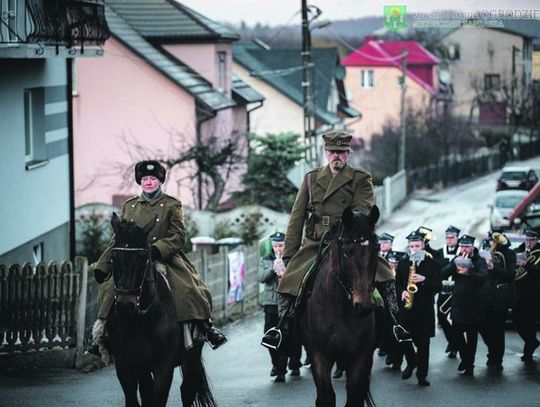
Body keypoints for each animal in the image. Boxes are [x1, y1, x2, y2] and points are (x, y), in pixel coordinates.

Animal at [107, 214, 215, 407]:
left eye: (143, 257)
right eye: (113, 256)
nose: (125, 304)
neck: (140, 320)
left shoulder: (163, 367)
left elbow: (158, 399)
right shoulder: (126, 365)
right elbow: (135, 399)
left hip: (192, 358)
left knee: (187, 390)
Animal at [300, 207, 380, 407]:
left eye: (376, 250)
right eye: (348, 252)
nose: (364, 305)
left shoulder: (361, 357)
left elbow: (354, 397)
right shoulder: (319, 356)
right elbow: (326, 397)